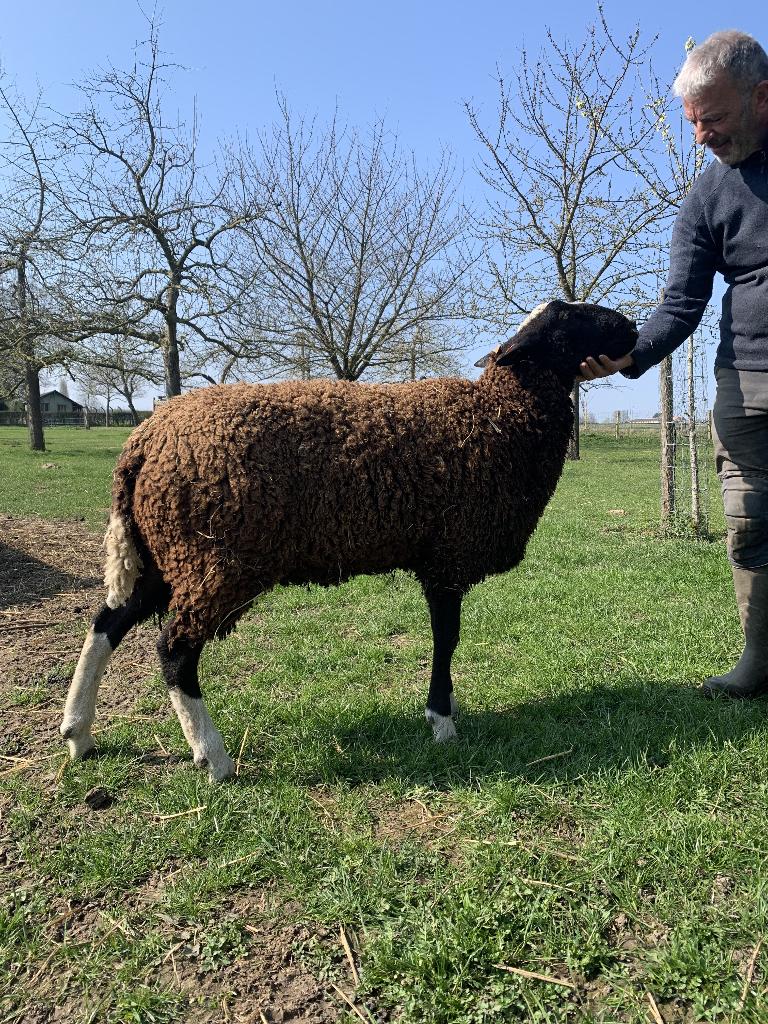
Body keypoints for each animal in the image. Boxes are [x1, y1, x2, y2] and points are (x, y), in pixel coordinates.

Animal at [60, 299, 637, 780]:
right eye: (568, 317)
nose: (631, 327)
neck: (498, 416)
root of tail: (144, 440)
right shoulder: (446, 558)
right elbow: (446, 640)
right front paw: (442, 721)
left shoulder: (437, 558)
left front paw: (444, 712)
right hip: (215, 559)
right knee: (174, 648)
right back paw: (214, 758)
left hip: (164, 553)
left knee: (108, 622)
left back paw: (78, 733)